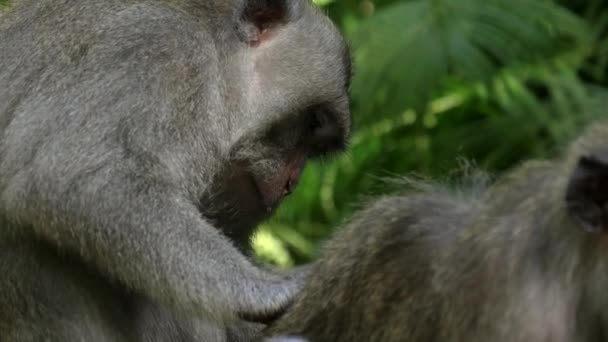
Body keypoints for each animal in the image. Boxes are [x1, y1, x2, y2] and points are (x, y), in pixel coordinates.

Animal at [0, 0, 352, 340]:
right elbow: (74, 176)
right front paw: (268, 290)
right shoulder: (159, 54)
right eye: (313, 121)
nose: (292, 182)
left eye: (316, 147)